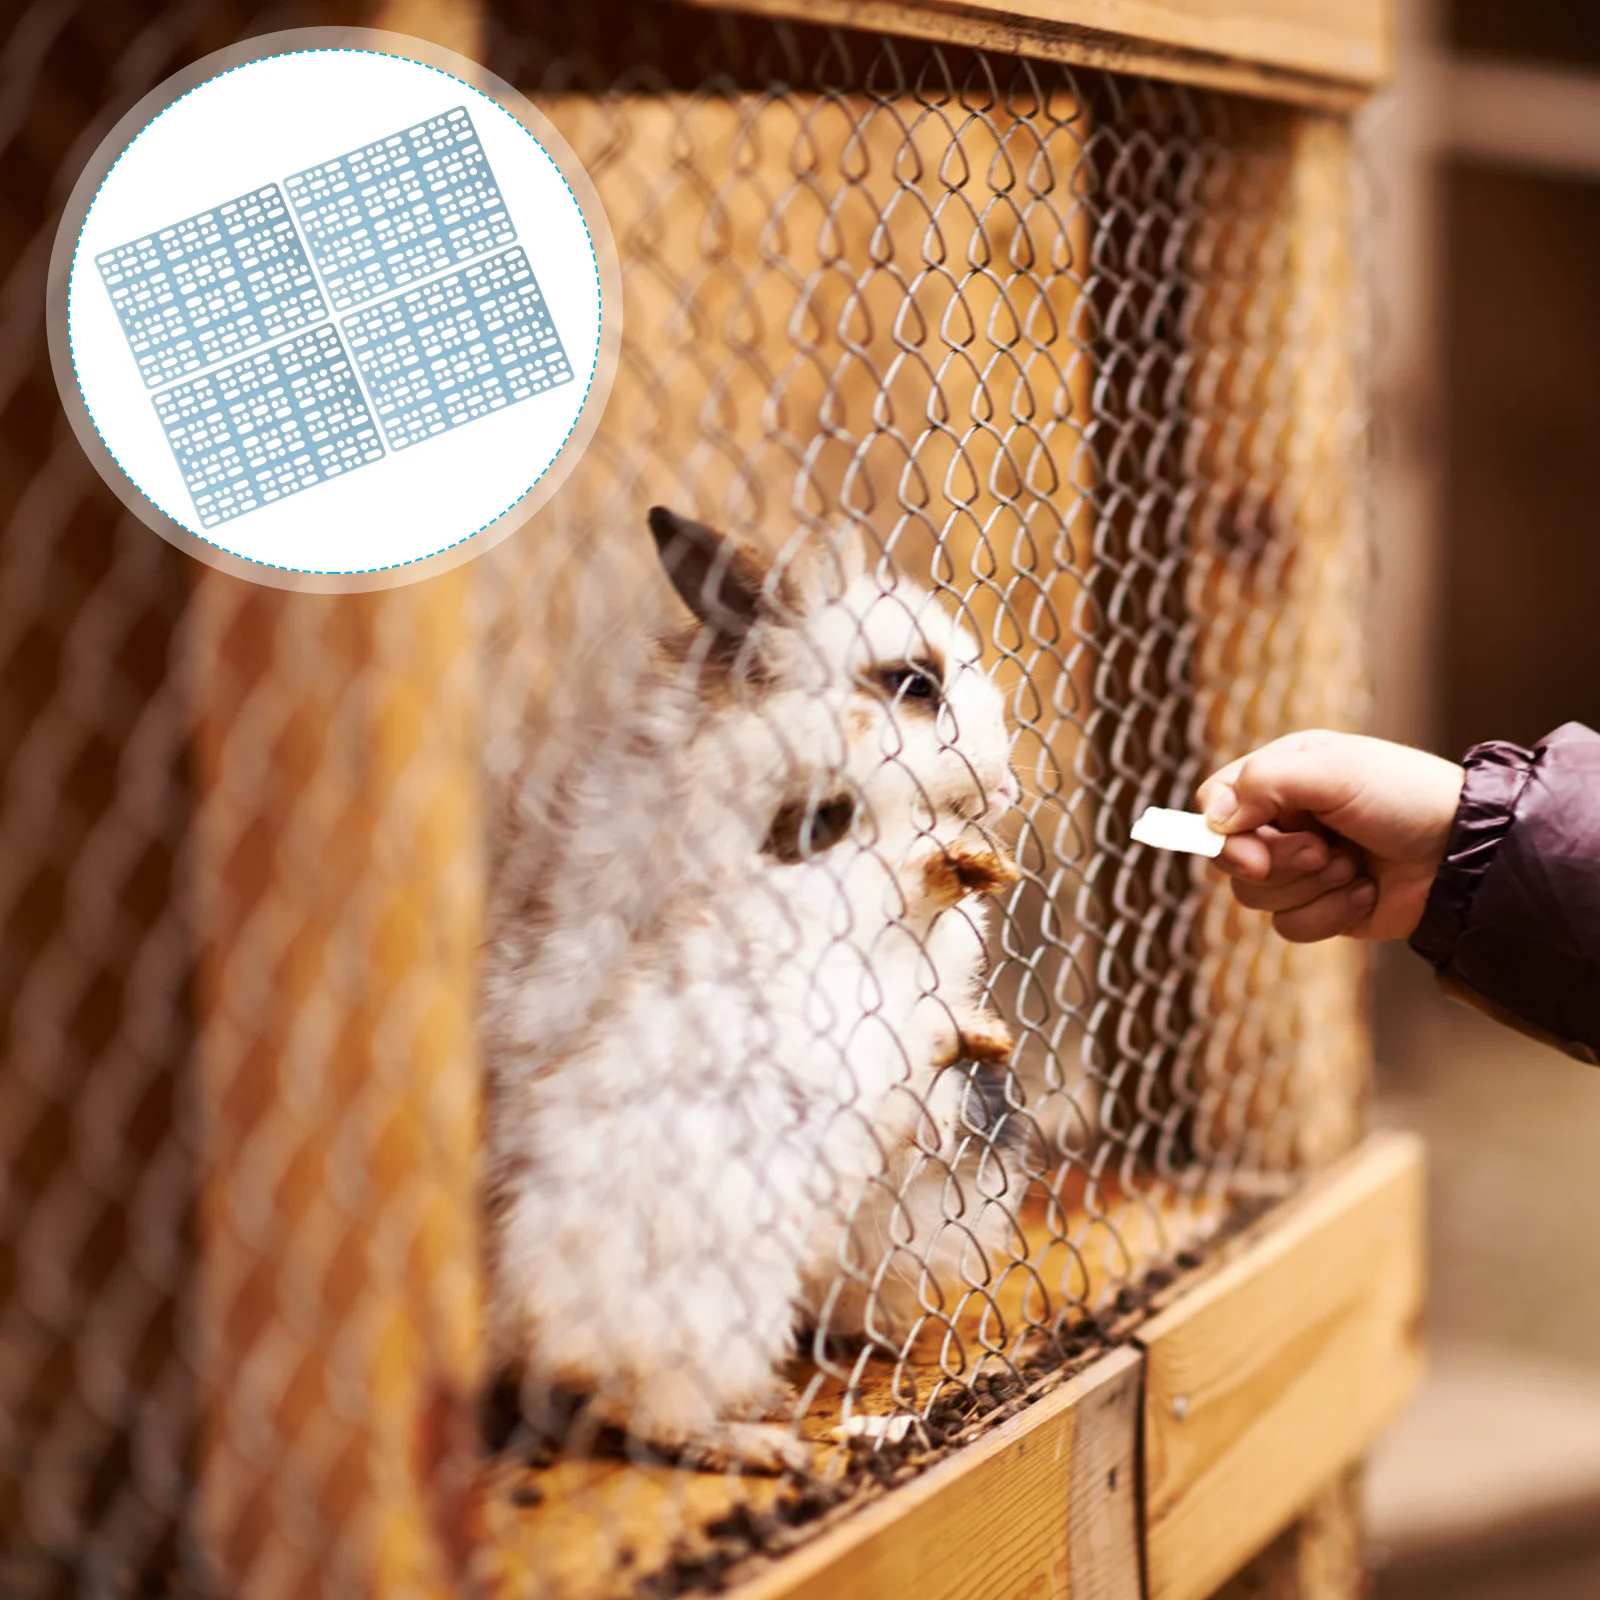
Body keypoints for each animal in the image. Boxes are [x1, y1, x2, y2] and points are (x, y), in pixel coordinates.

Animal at [482, 506, 1025, 1472]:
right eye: (914, 683)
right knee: (643, 1410)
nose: (1005, 782)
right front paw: (957, 874)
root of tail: (535, 1335)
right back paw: (765, 1442)